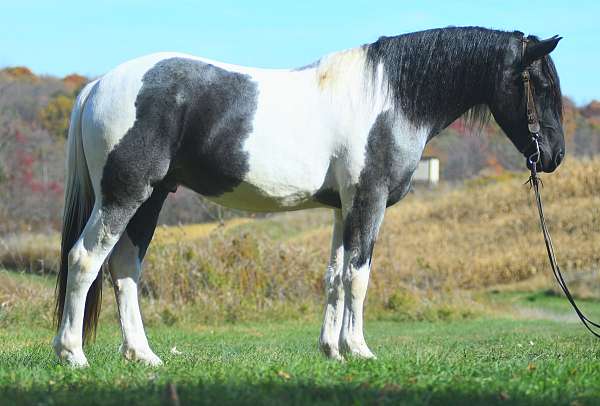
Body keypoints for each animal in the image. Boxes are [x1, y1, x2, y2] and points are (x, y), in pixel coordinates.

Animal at [51, 27, 564, 366]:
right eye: (539, 84)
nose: (554, 156)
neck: (388, 99)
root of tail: (97, 86)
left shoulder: (343, 208)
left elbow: (334, 277)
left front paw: (332, 351)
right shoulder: (368, 202)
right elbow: (359, 277)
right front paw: (359, 349)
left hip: (152, 197)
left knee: (124, 269)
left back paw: (142, 356)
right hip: (125, 194)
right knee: (85, 259)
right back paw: (73, 354)